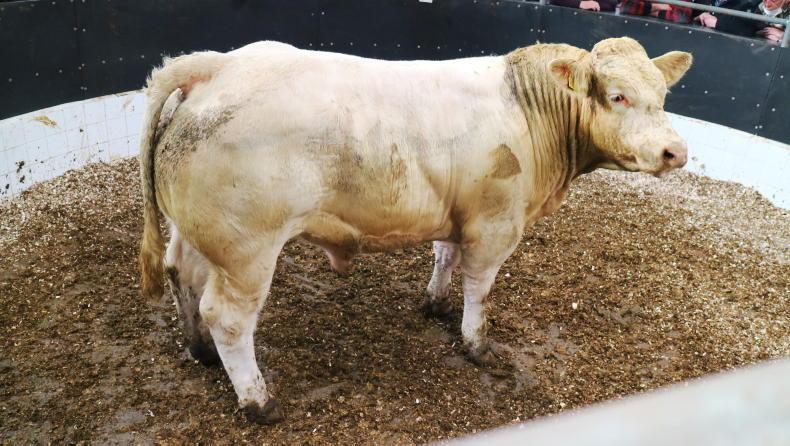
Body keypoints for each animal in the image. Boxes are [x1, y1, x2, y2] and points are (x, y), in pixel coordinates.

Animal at [138, 38, 692, 423]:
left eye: (664, 96)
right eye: (617, 96)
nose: (675, 152)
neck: (529, 111)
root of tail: (218, 65)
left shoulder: (458, 213)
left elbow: (445, 256)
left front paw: (435, 303)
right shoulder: (495, 223)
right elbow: (479, 288)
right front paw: (476, 343)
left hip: (199, 233)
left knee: (180, 275)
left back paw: (200, 351)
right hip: (246, 249)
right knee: (229, 318)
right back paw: (257, 400)